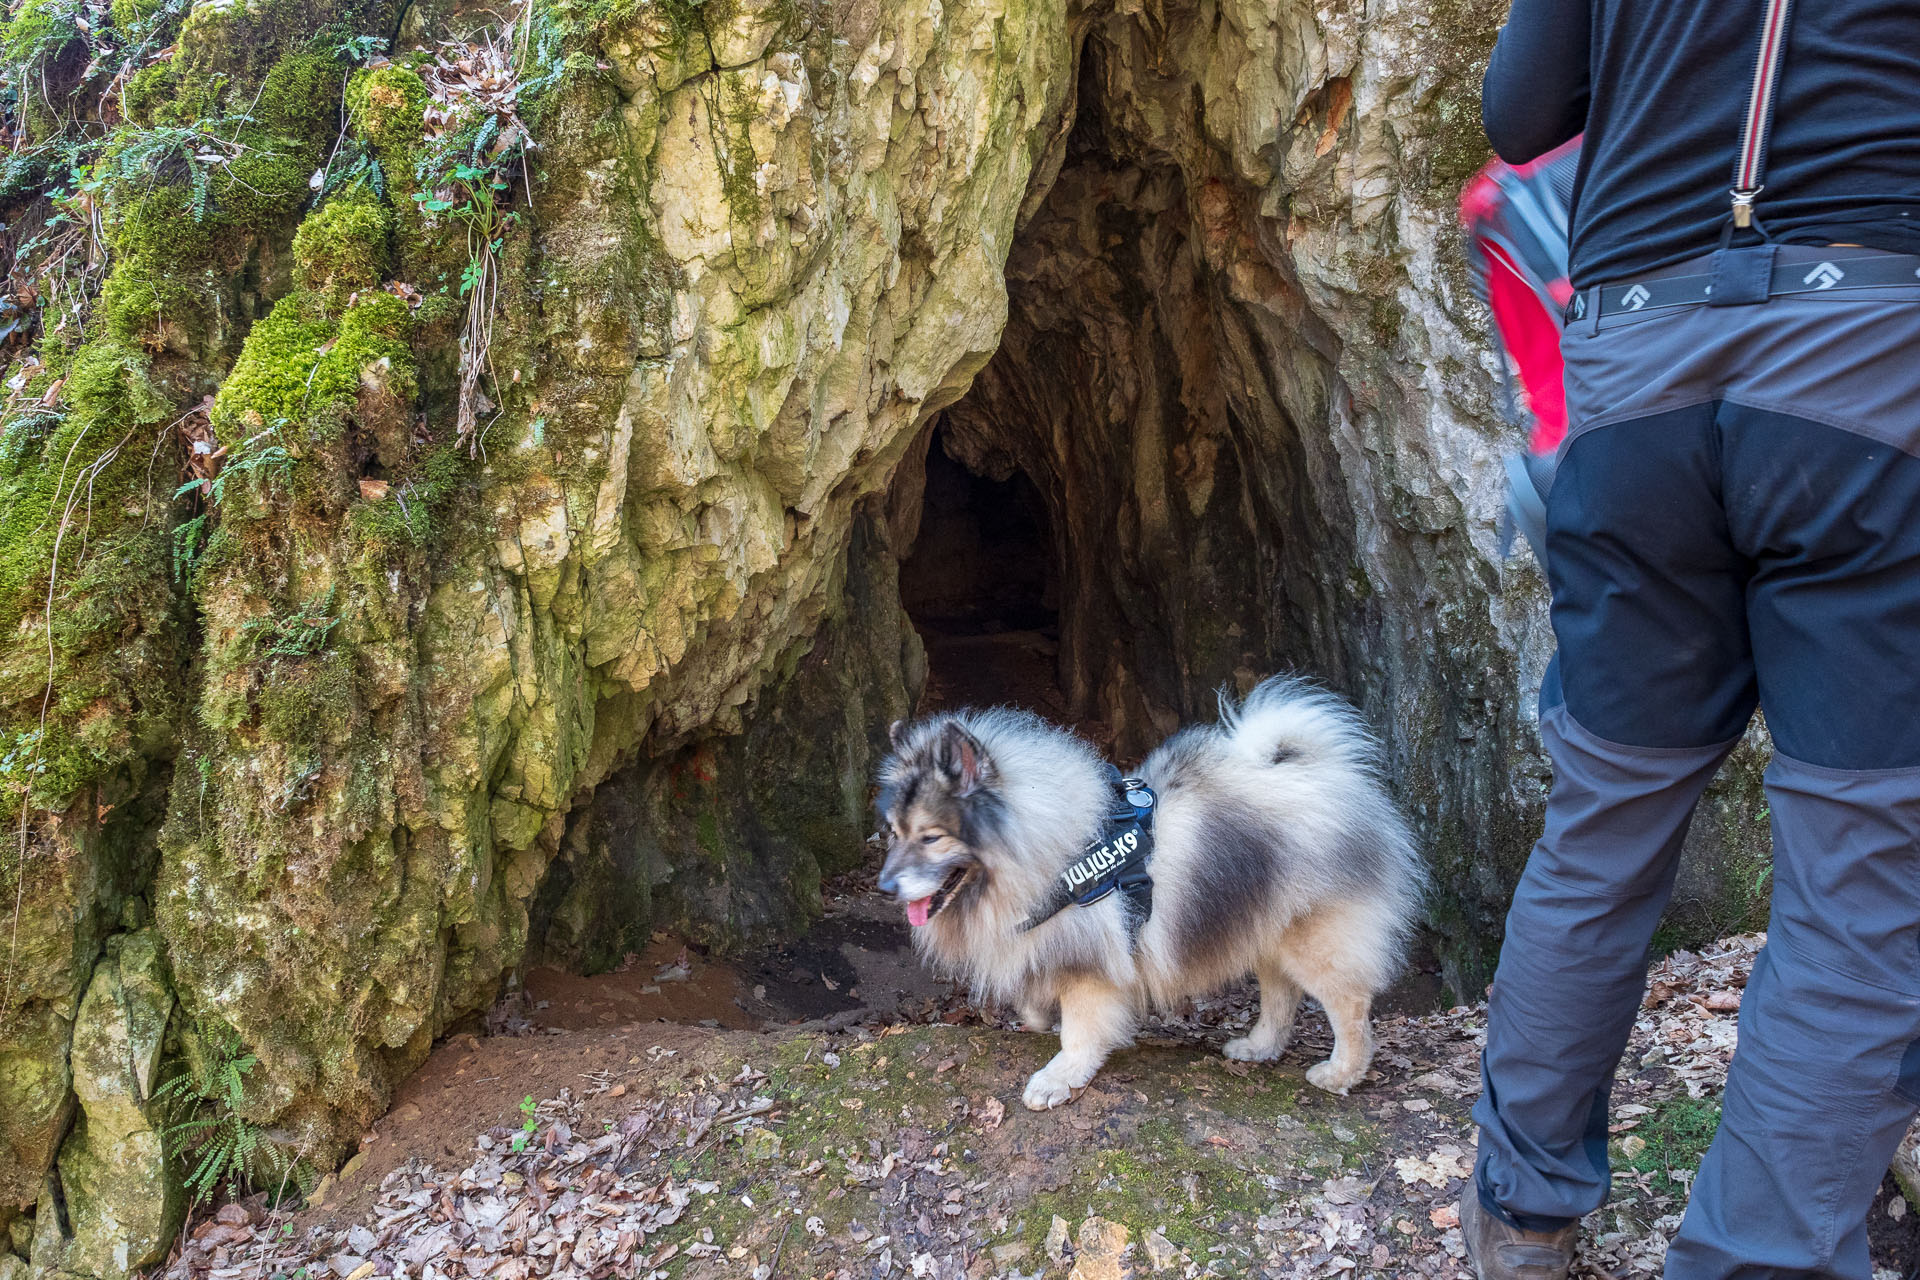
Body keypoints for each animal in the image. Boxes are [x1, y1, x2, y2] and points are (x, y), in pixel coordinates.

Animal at [879, 679, 1420, 1113]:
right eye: (893, 833)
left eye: (931, 837)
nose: (885, 885)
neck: (1046, 847)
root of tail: (1327, 775)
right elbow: (1033, 997)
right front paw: (1037, 1019)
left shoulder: (1092, 967)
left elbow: (1080, 1030)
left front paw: (1058, 1078)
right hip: (1265, 925)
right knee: (1280, 995)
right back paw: (1258, 1047)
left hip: (1313, 940)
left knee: (1350, 1008)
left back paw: (1341, 1072)